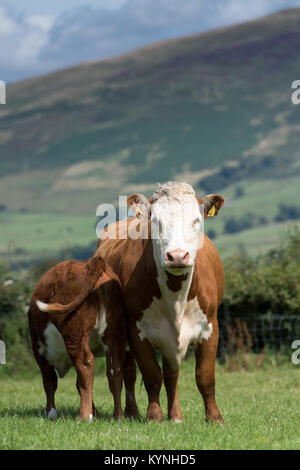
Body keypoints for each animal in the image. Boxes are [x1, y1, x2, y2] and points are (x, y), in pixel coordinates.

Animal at [27, 255, 125, 420]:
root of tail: (90, 262)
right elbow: (78, 383)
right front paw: (95, 413)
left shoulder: (38, 350)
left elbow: (49, 381)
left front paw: (51, 413)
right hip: (113, 334)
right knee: (114, 370)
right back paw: (118, 416)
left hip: (74, 334)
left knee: (85, 364)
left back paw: (85, 416)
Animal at [96, 182, 225, 424]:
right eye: (155, 221)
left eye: (196, 220)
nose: (177, 256)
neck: (175, 297)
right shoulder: (137, 331)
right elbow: (151, 375)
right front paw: (154, 416)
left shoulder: (210, 326)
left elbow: (204, 377)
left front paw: (214, 418)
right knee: (129, 372)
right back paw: (132, 412)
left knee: (171, 374)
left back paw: (176, 416)